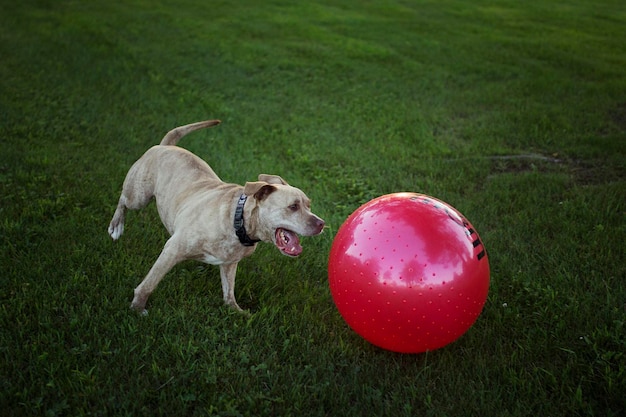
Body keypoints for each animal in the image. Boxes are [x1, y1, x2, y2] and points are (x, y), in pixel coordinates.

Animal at [108, 118, 324, 310]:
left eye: (309, 205)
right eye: (293, 206)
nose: (321, 223)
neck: (239, 221)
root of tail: (166, 146)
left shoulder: (229, 263)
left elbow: (229, 293)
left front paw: (237, 312)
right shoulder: (173, 250)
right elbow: (150, 282)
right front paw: (138, 307)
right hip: (139, 196)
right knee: (123, 200)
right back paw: (116, 226)